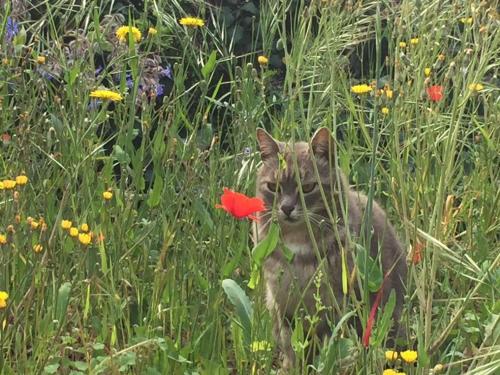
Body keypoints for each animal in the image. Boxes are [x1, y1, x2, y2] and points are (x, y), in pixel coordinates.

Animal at [254, 128, 406, 372]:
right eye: (273, 187)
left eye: (307, 187)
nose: (286, 208)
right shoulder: (283, 304)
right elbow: (291, 346)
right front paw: (292, 368)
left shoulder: (339, 306)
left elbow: (333, 347)